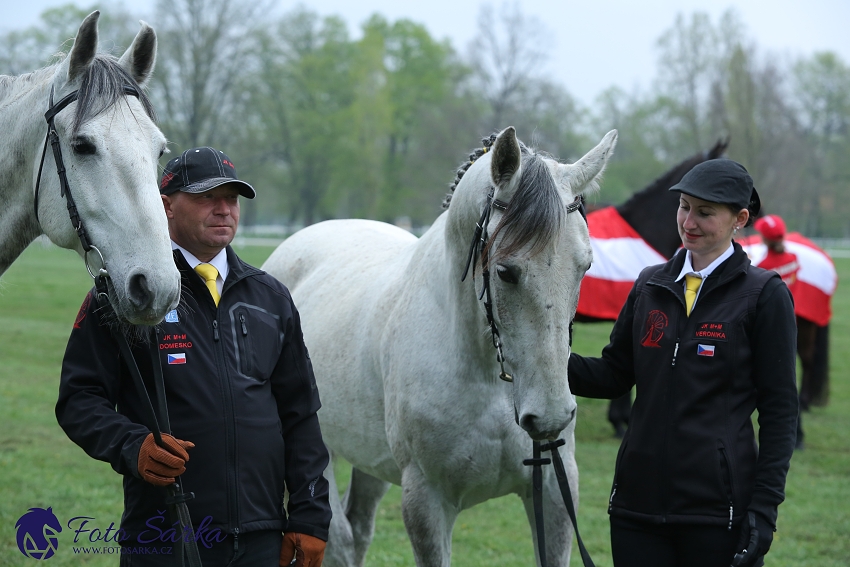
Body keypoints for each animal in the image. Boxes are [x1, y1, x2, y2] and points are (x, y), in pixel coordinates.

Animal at [264, 129, 616, 567]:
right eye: (505, 271)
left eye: (585, 266)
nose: (551, 416)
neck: (488, 377)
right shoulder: (427, 502)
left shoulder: (553, 492)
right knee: (339, 541)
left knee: (357, 528)